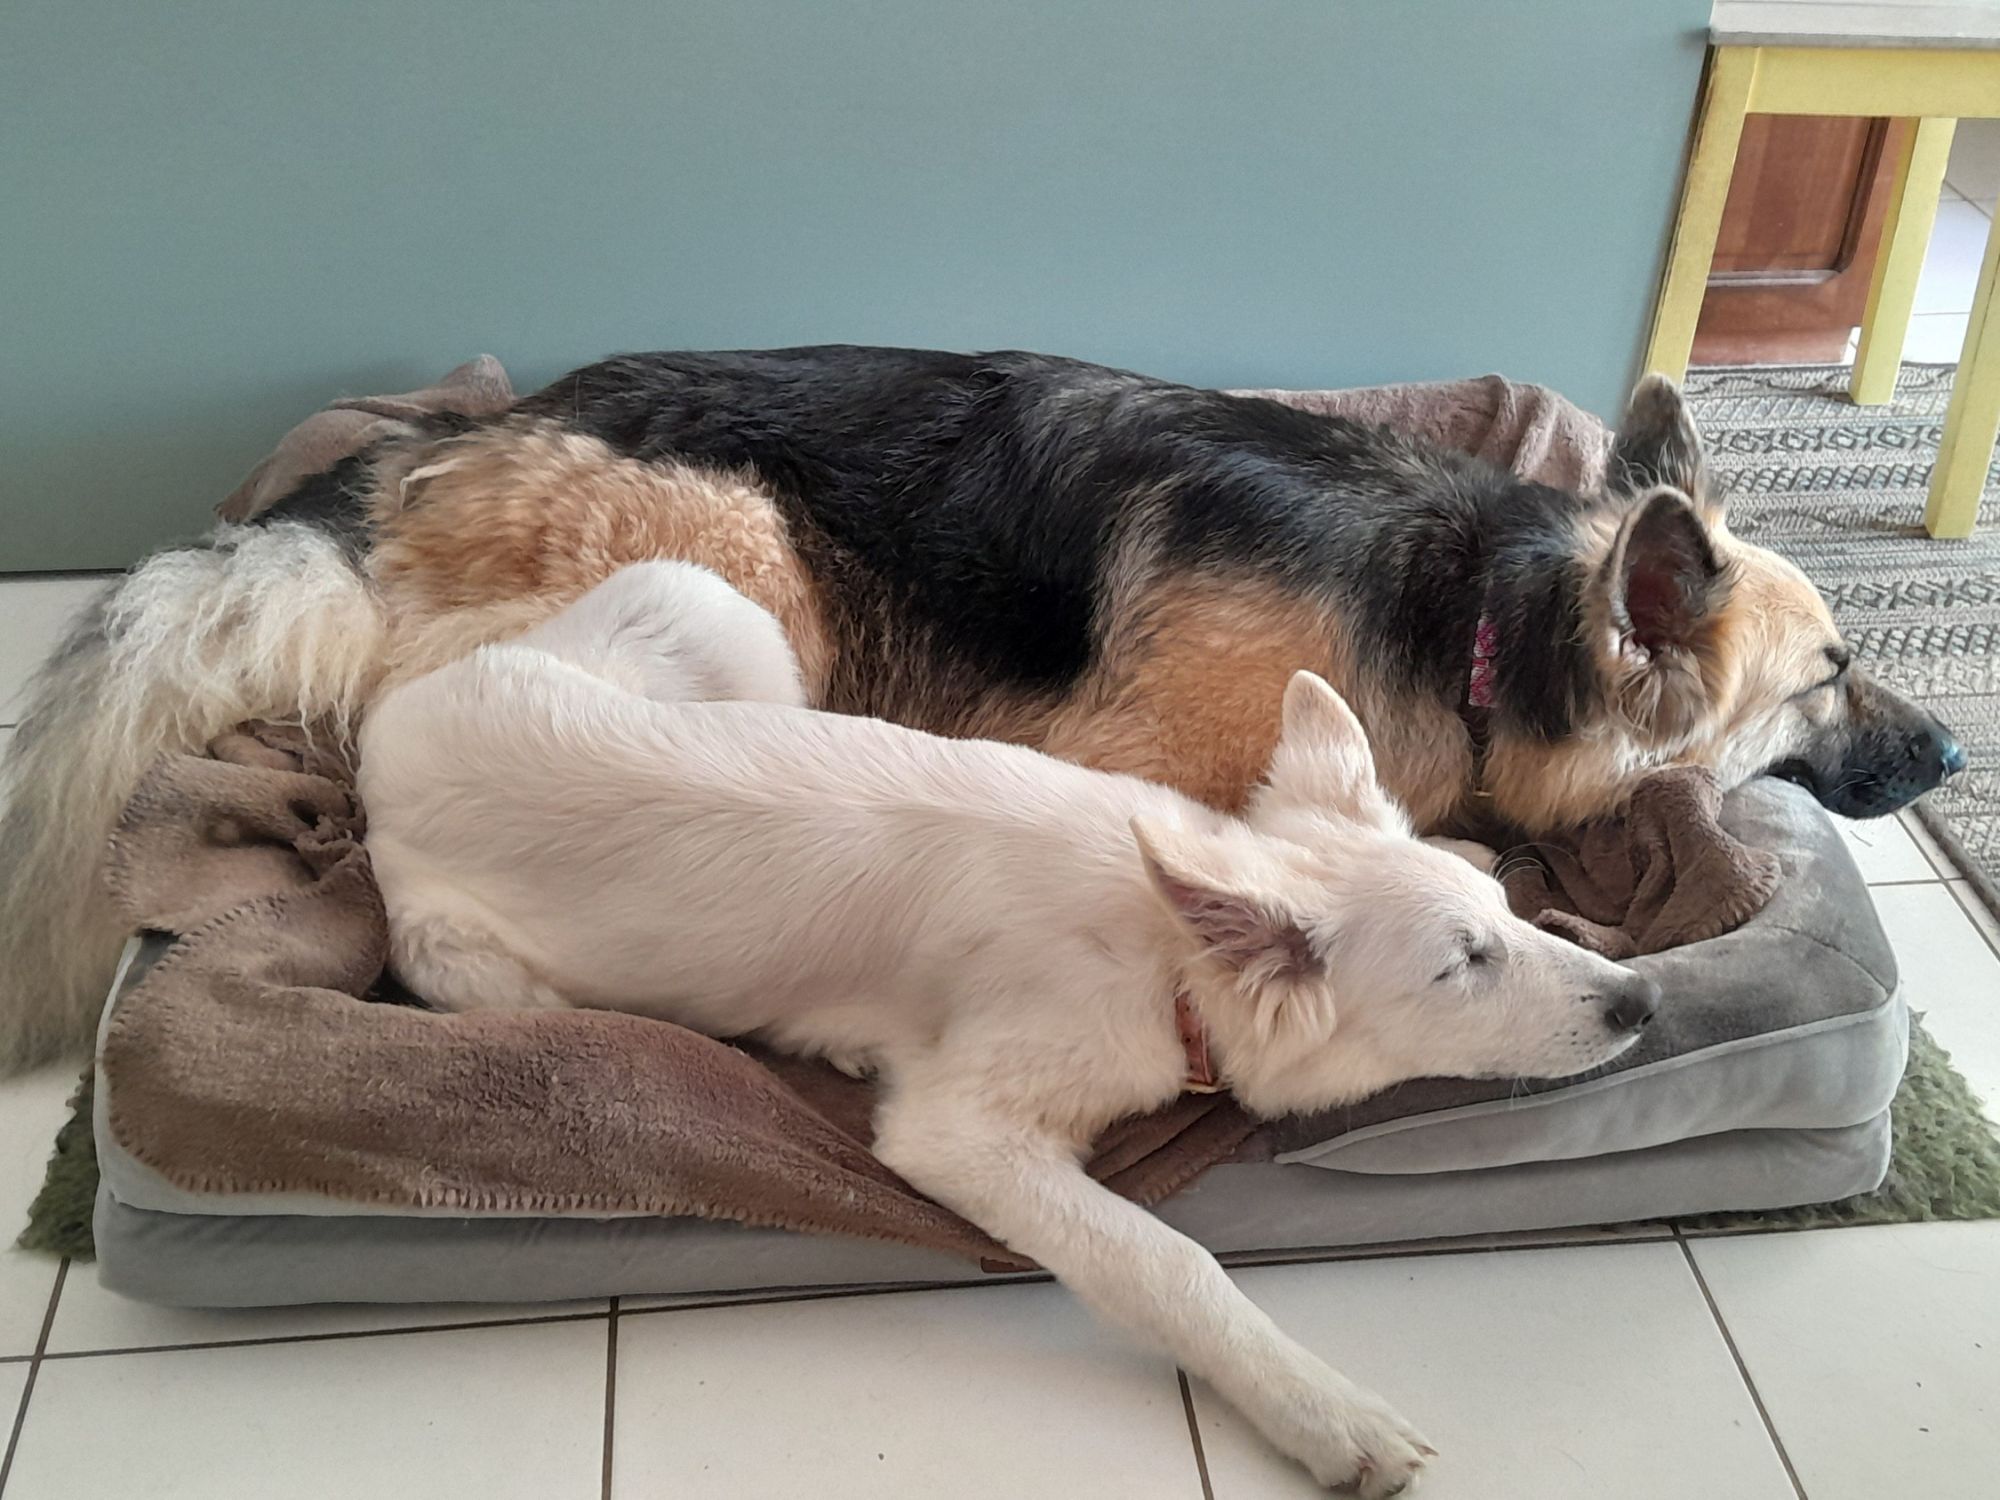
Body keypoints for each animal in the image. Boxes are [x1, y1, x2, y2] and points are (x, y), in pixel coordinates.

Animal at [358, 560, 1662, 1495]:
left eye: (1504, 929)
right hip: (469, 971)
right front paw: (1322, 1411)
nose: (1644, 1002)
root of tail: (388, 730)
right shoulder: (963, 1136)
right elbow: (1168, 1260)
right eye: (1461, 966)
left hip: (711, 615)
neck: (1163, 951)